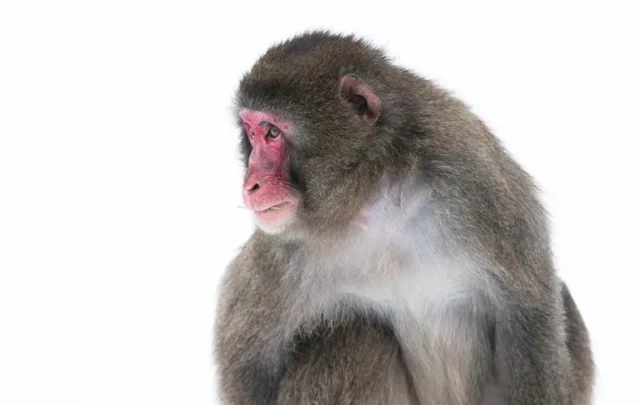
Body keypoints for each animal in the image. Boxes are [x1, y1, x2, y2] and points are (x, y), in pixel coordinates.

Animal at [214, 31, 594, 405]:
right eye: (251, 132)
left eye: (272, 132)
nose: (251, 184)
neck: (376, 190)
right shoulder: (284, 250)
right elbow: (248, 362)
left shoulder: (480, 182)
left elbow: (528, 310)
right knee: (355, 334)